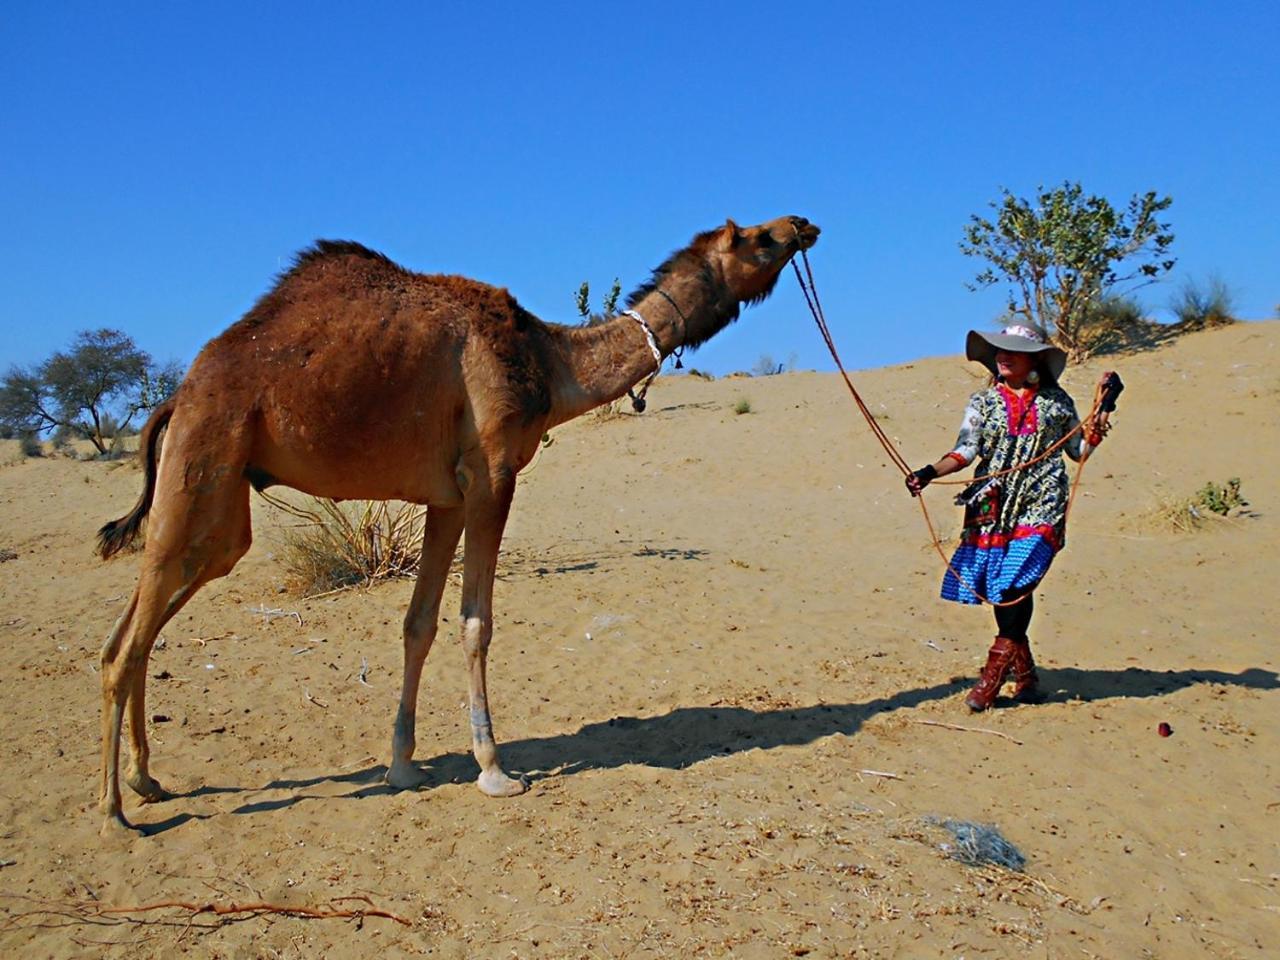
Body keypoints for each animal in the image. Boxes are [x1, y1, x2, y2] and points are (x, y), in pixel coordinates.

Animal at [97, 216, 819, 834]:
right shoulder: (492, 473)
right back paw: (114, 812)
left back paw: (145, 779)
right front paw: (495, 769)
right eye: (756, 238)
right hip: (207, 459)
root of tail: (175, 398)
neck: (549, 362)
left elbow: (418, 625)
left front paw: (402, 766)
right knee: (127, 645)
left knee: (134, 629)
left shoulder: (444, 496)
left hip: (214, 502)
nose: (803, 225)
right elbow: (477, 623)